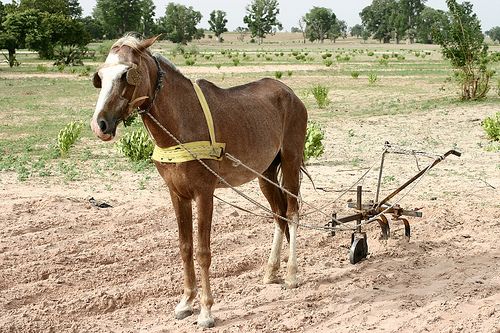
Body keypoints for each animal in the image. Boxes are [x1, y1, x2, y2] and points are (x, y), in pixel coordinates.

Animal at [91, 33, 308, 326]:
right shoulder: (177, 194)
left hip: (291, 160)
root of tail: (291, 94)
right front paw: (186, 301)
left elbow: (203, 251)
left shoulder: (204, 193)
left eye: (128, 74)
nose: (99, 124)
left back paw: (292, 274)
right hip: (265, 173)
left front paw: (206, 310)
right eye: (100, 76)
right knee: (279, 215)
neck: (181, 123)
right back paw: (271, 270)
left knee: (293, 213)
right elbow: (185, 247)